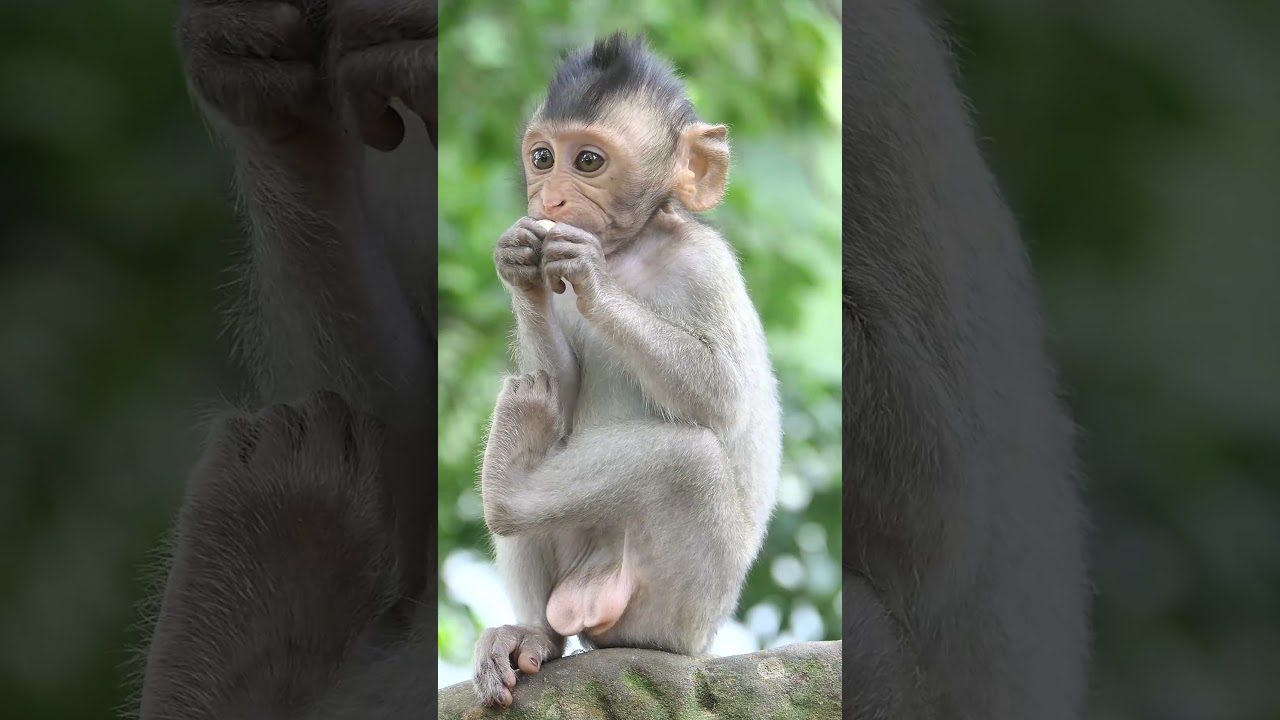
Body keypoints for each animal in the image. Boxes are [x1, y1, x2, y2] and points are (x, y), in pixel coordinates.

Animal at [469, 33, 783, 709]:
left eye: (588, 161)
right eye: (542, 157)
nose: (549, 200)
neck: (629, 253)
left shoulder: (706, 265)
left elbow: (722, 397)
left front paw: (589, 275)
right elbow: (559, 386)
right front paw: (519, 265)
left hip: (679, 606)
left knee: (687, 460)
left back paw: (508, 485)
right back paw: (532, 634)